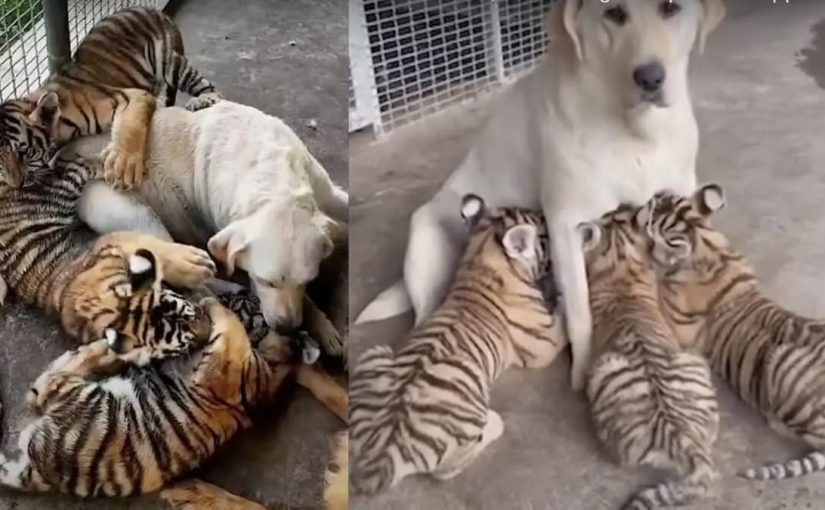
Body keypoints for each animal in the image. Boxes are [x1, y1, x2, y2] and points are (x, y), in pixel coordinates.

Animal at [66, 99, 346, 358]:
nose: (286, 328)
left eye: (308, 281)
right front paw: (321, 325)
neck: (274, 180)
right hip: (133, 211)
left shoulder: (327, 192)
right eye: (266, 281)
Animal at [354, 0, 720, 390]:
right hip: (427, 241)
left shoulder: (679, 196)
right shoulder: (567, 224)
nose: (650, 78)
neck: (637, 131)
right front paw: (583, 373)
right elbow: (579, 310)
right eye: (614, 13)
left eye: (671, 8)